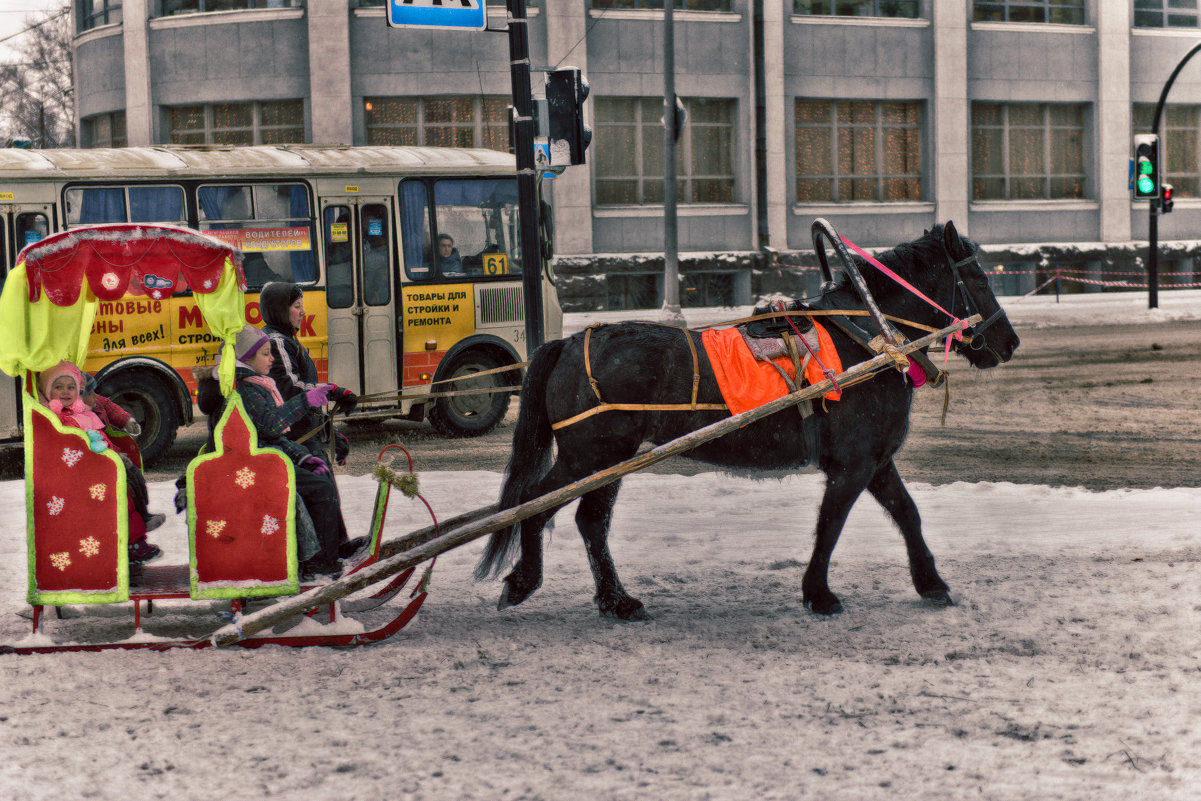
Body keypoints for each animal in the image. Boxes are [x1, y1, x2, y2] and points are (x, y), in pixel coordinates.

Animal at [473, 222, 1018, 624]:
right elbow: (830, 525)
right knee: (536, 504)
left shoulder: (875, 460)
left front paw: (931, 583)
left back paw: (615, 601)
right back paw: (525, 582)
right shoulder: (853, 465)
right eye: (980, 279)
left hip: (606, 460)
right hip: (592, 455)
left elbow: (907, 515)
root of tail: (567, 343)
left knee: (589, 521)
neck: (868, 339)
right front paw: (819, 593)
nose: (1009, 342)